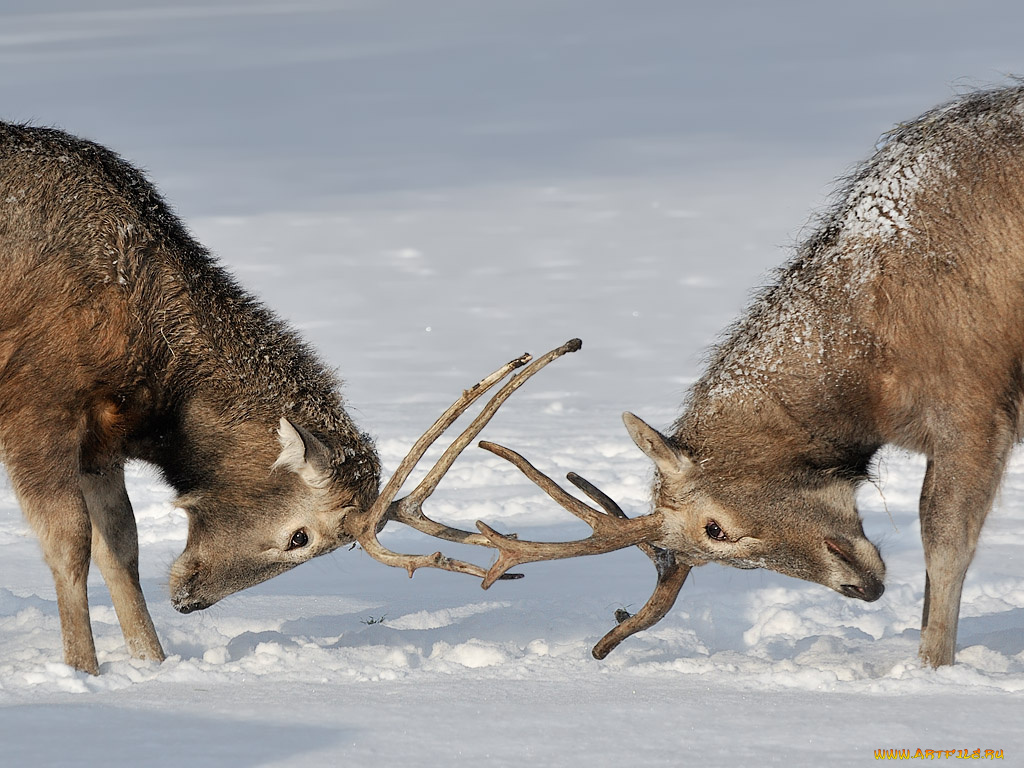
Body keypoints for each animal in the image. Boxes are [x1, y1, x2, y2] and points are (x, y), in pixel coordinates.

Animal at [0, 118, 581, 671]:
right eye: (299, 538)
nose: (190, 601)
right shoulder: (37, 410)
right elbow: (70, 546)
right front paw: (83, 671)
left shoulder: (104, 440)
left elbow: (122, 546)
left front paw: (152, 663)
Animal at [468, 83, 1024, 667]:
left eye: (715, 529)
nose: (861, 588)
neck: (876, 373)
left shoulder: (975, 404)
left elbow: (945, 545)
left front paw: (932, 666)